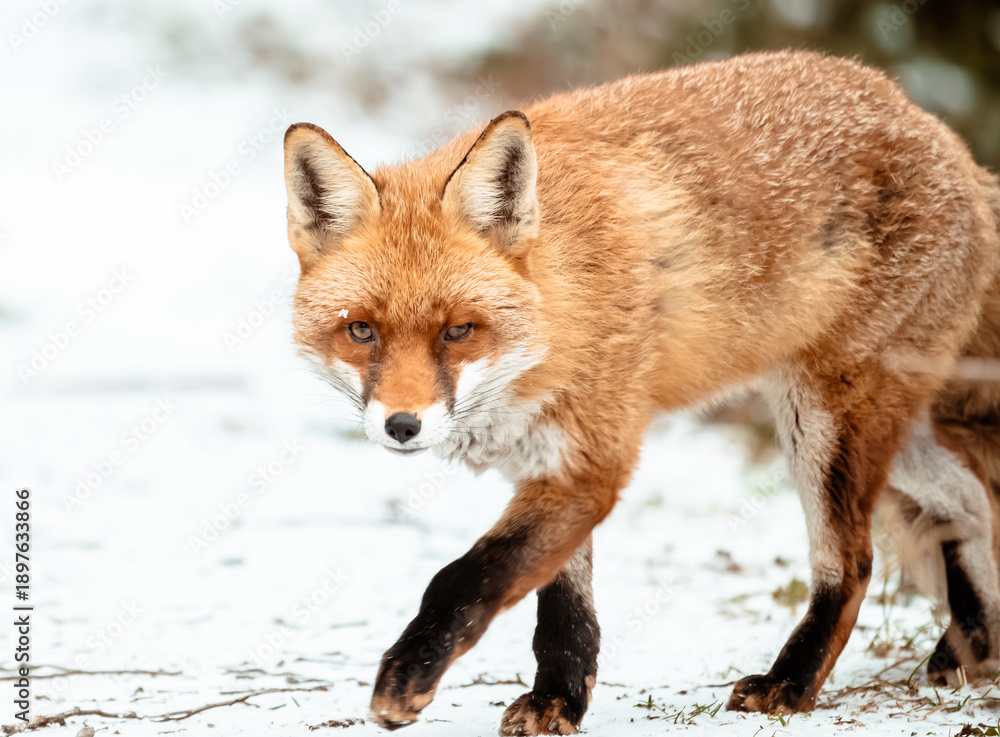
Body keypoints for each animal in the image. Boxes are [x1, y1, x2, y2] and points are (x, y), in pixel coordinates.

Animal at [281, 50, 1000, 734]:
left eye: (459, 330)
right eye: (362, 330)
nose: (402, 424)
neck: (557, 309)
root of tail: (948, 140)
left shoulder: (594, 458)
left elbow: (466, 575)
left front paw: (409, 674)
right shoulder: (553, 461)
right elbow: (563, 607)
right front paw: (560, 701)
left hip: (826, 425)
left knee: (854, 561)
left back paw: (790, 684)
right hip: (885, 436)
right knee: (971, 507)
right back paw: (974, 647)